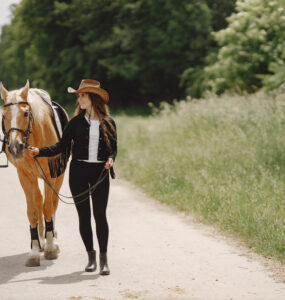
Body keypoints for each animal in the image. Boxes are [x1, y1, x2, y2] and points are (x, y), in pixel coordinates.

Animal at [0, 80, 68, 268]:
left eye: (25, 113)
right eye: (4, 114)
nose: (15, 147)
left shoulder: (51, 174)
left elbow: (48, 207)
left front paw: (51, 247)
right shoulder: (24, 175)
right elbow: (33, 210)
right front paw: (35, 251)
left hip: (58, 175)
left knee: (52, 203)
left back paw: (53, 240)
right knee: (39, 202)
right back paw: (42, 240)